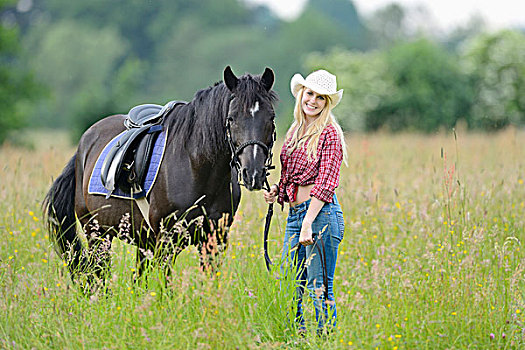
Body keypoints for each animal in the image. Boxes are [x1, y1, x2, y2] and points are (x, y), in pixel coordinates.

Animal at [44, 67, 278, 284]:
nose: (253, 173)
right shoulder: (167, 241)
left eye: (271, 117)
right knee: (100, 275)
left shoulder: (215, 240)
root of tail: (84, 145)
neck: (196, 167)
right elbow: (167, 288)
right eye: (231, 118)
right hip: (97, 233)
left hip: (140, 240)